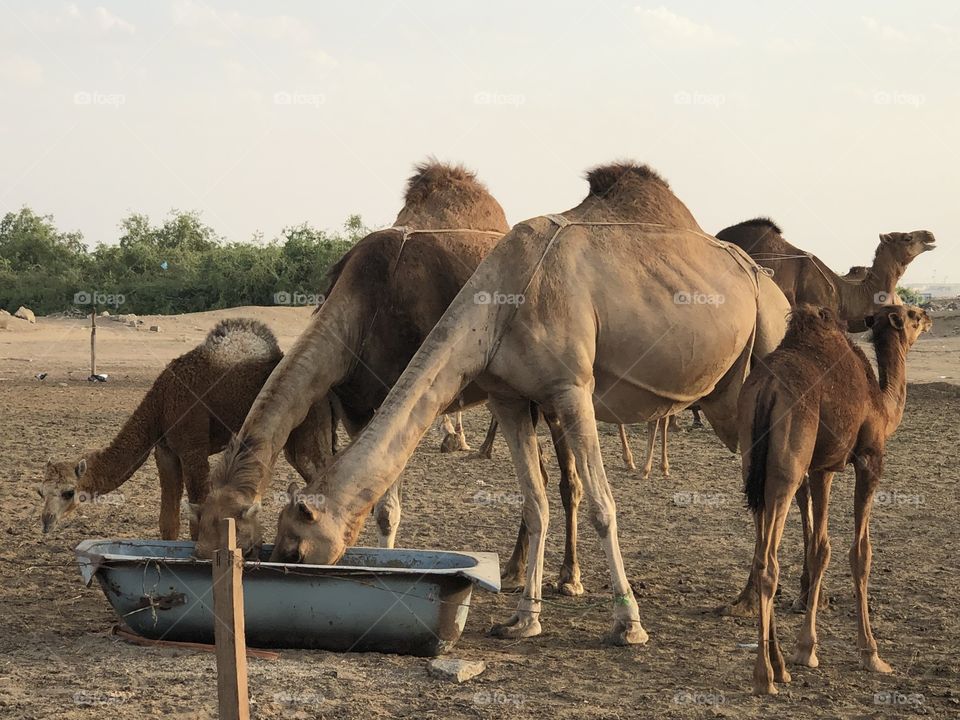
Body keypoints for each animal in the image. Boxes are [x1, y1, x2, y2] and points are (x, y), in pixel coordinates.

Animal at [39, 319, 334, 541]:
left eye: (68, 492)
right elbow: (168, 521)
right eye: (41, 492)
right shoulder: (166, 451)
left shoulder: (193, 448)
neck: (160, 406)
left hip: (306, 429)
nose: (46, 521)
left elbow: (198, 512)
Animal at [267, 161, 791, 645]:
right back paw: (757, 600)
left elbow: (602, 505)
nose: (281, 569)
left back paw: (754, 606)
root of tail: (774, 286)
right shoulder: (509, 397)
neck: (501, 300)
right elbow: (535, 502)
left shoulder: (571, 388)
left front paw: (628, 623)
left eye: (294, 547)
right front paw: (523, 619)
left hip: (768, 347)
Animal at [739, 304, 930, 695]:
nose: (929, 316)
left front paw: (805, 649)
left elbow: (819, 548)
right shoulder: (869, 459)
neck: (882, 405)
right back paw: (765, 677)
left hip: (753, 466)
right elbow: (860, 553)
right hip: (786, 469)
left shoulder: (822, 468)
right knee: (769, 561)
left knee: (760, 550)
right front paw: (871, 654)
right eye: (913, 315)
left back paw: (779, 667)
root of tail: (766, 389)